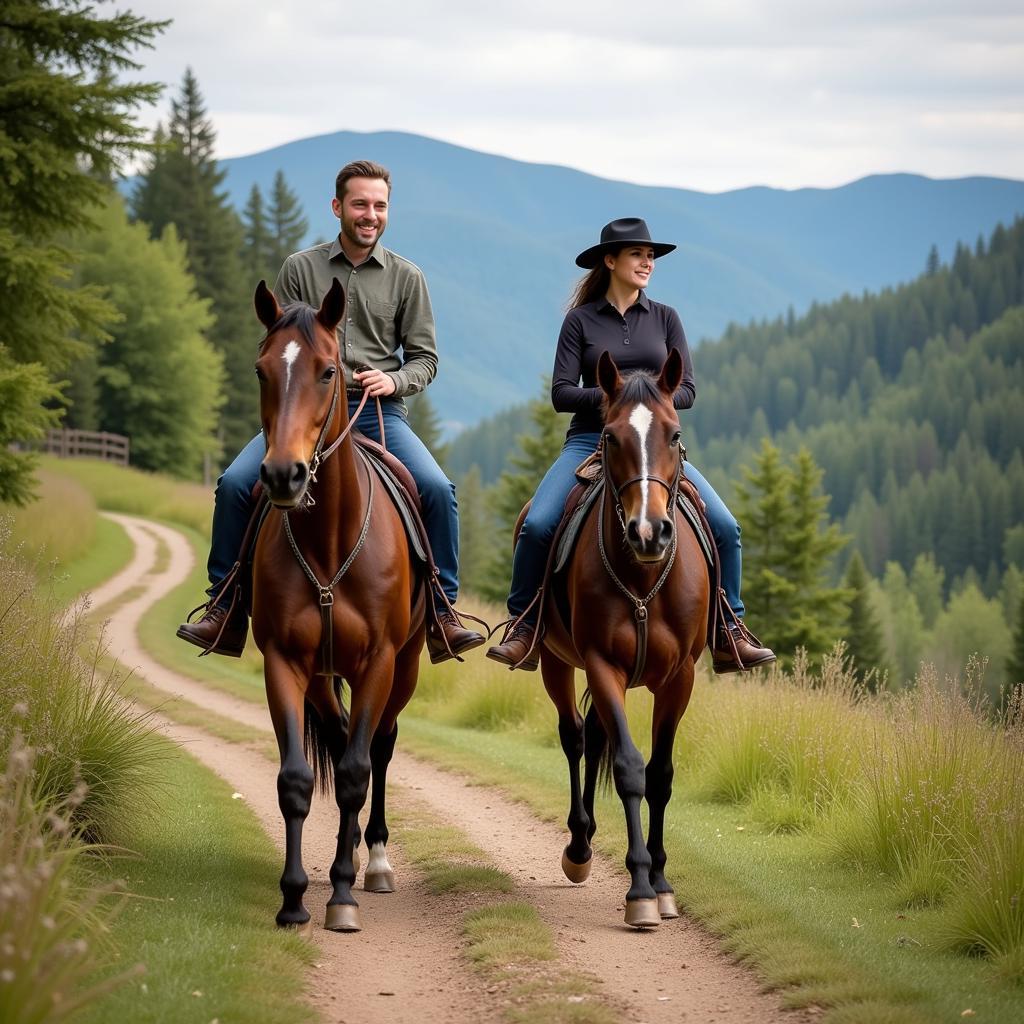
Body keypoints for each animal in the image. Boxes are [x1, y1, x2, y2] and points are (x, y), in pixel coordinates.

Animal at [248, 276, 423, 933]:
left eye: (328, 372)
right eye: (262, 370)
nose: (283, 475)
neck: (329, 543)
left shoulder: (378, 662)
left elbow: (353, 772)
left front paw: (343, 895)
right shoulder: (283, 661)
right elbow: (297, 779)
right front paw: (294, 897)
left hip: (406, 666)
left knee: (378, 746)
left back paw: (374, 862)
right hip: (324, 678)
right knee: (344, 731)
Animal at [540, 350, 708, 929]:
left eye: (675, 435)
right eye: (610, 437)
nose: (648, 531)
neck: (642, 577)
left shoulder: (679, 678)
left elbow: (660, 774)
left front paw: (661, 881)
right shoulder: (600, 664)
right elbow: (631, 769)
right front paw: (638, 889)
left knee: (592, 737)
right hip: (553, 660)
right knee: (575, 737)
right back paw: (579, 848)